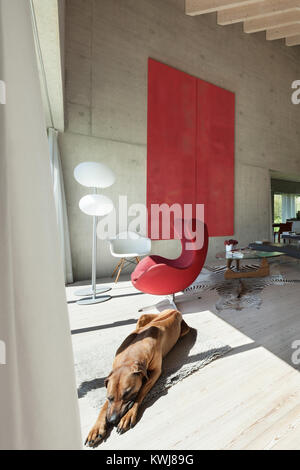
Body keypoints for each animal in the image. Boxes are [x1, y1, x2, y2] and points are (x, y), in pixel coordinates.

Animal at [84, 308, 190, 448]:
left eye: (128, 394)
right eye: (109, 397)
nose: (112, 421)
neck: (129, 356)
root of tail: (173, 310)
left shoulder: (155, 372)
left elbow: (140, 393)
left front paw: (128, 416)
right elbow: (104, 407)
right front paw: (96, 429)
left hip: (184, 330)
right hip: (143, 318)